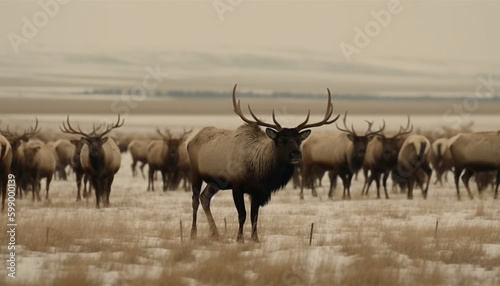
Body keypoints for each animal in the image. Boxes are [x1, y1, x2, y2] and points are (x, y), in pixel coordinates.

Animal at [188, 84, 340, 242]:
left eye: (299, 140)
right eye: (281, 140)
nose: (296, 154)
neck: (260, 171)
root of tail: (191, 140)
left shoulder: (259, 191)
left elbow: (254, 216)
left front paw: (255, 239)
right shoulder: (237, 186)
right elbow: (242, 215)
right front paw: (240, 239)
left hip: (214, 182)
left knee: (205, 198)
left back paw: (215, 233)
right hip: (195, 172)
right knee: (195, 200)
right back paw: (193, 233)